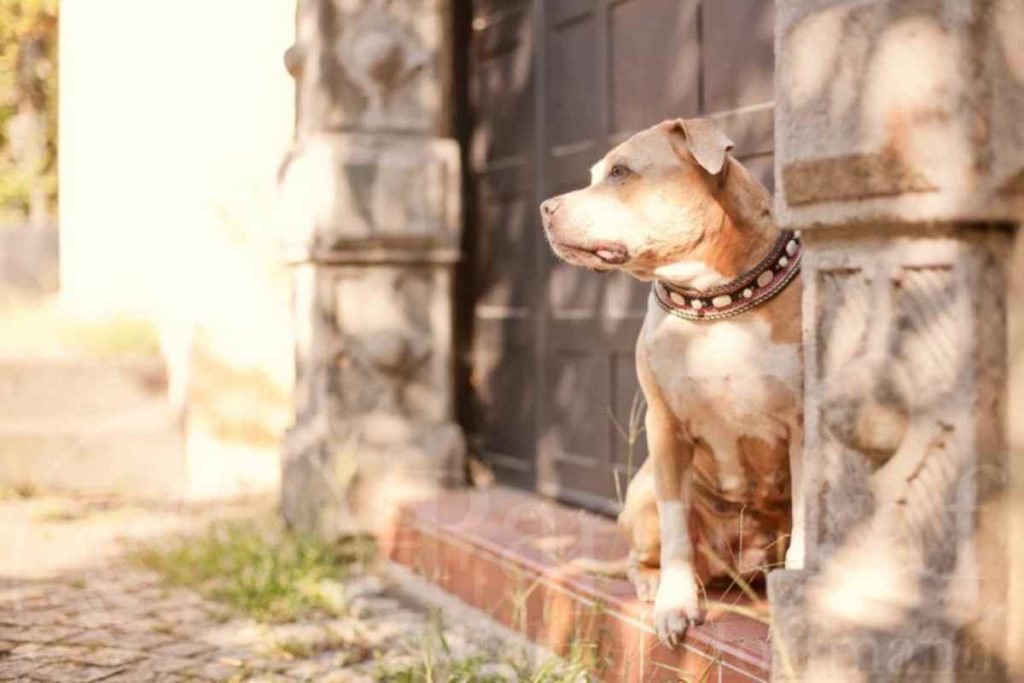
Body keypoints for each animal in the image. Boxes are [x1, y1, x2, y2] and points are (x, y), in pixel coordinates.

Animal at [540, 120, 802, 651]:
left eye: (620, 172)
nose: (545, 208)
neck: (714, 300)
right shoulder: (666, 430)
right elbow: (676, 525)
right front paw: (674, 605)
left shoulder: (807, 424)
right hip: (641, 492)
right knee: (638, 557)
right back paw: (651, 583)